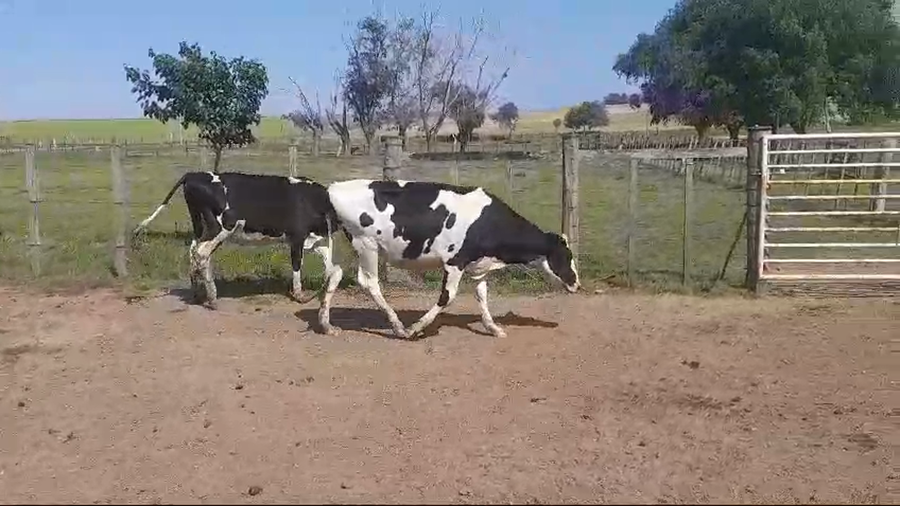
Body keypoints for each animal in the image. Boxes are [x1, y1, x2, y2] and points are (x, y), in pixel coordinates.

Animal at [132, 171, 344, 334]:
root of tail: (194, 174)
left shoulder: (315, 239)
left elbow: (330, 266)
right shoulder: (297, 237)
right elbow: (297, 264)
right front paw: (299, 295)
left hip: (200, 227)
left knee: (194, 251)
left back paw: (197, 292)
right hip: (220, 227)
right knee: (201, 253)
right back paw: (212, 298)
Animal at [327, 179, 581, 339]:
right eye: (566, 255)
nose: (577, 284)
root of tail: (333, 187)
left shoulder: (479, 265)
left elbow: (482, 295)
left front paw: (493, 328)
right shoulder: (454, 261)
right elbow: (447, 298)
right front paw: (416, 328)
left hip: (346, 245)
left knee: (334, 275)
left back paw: (326, 325)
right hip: (367, 244)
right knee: (369, 282)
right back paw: (398, 327)